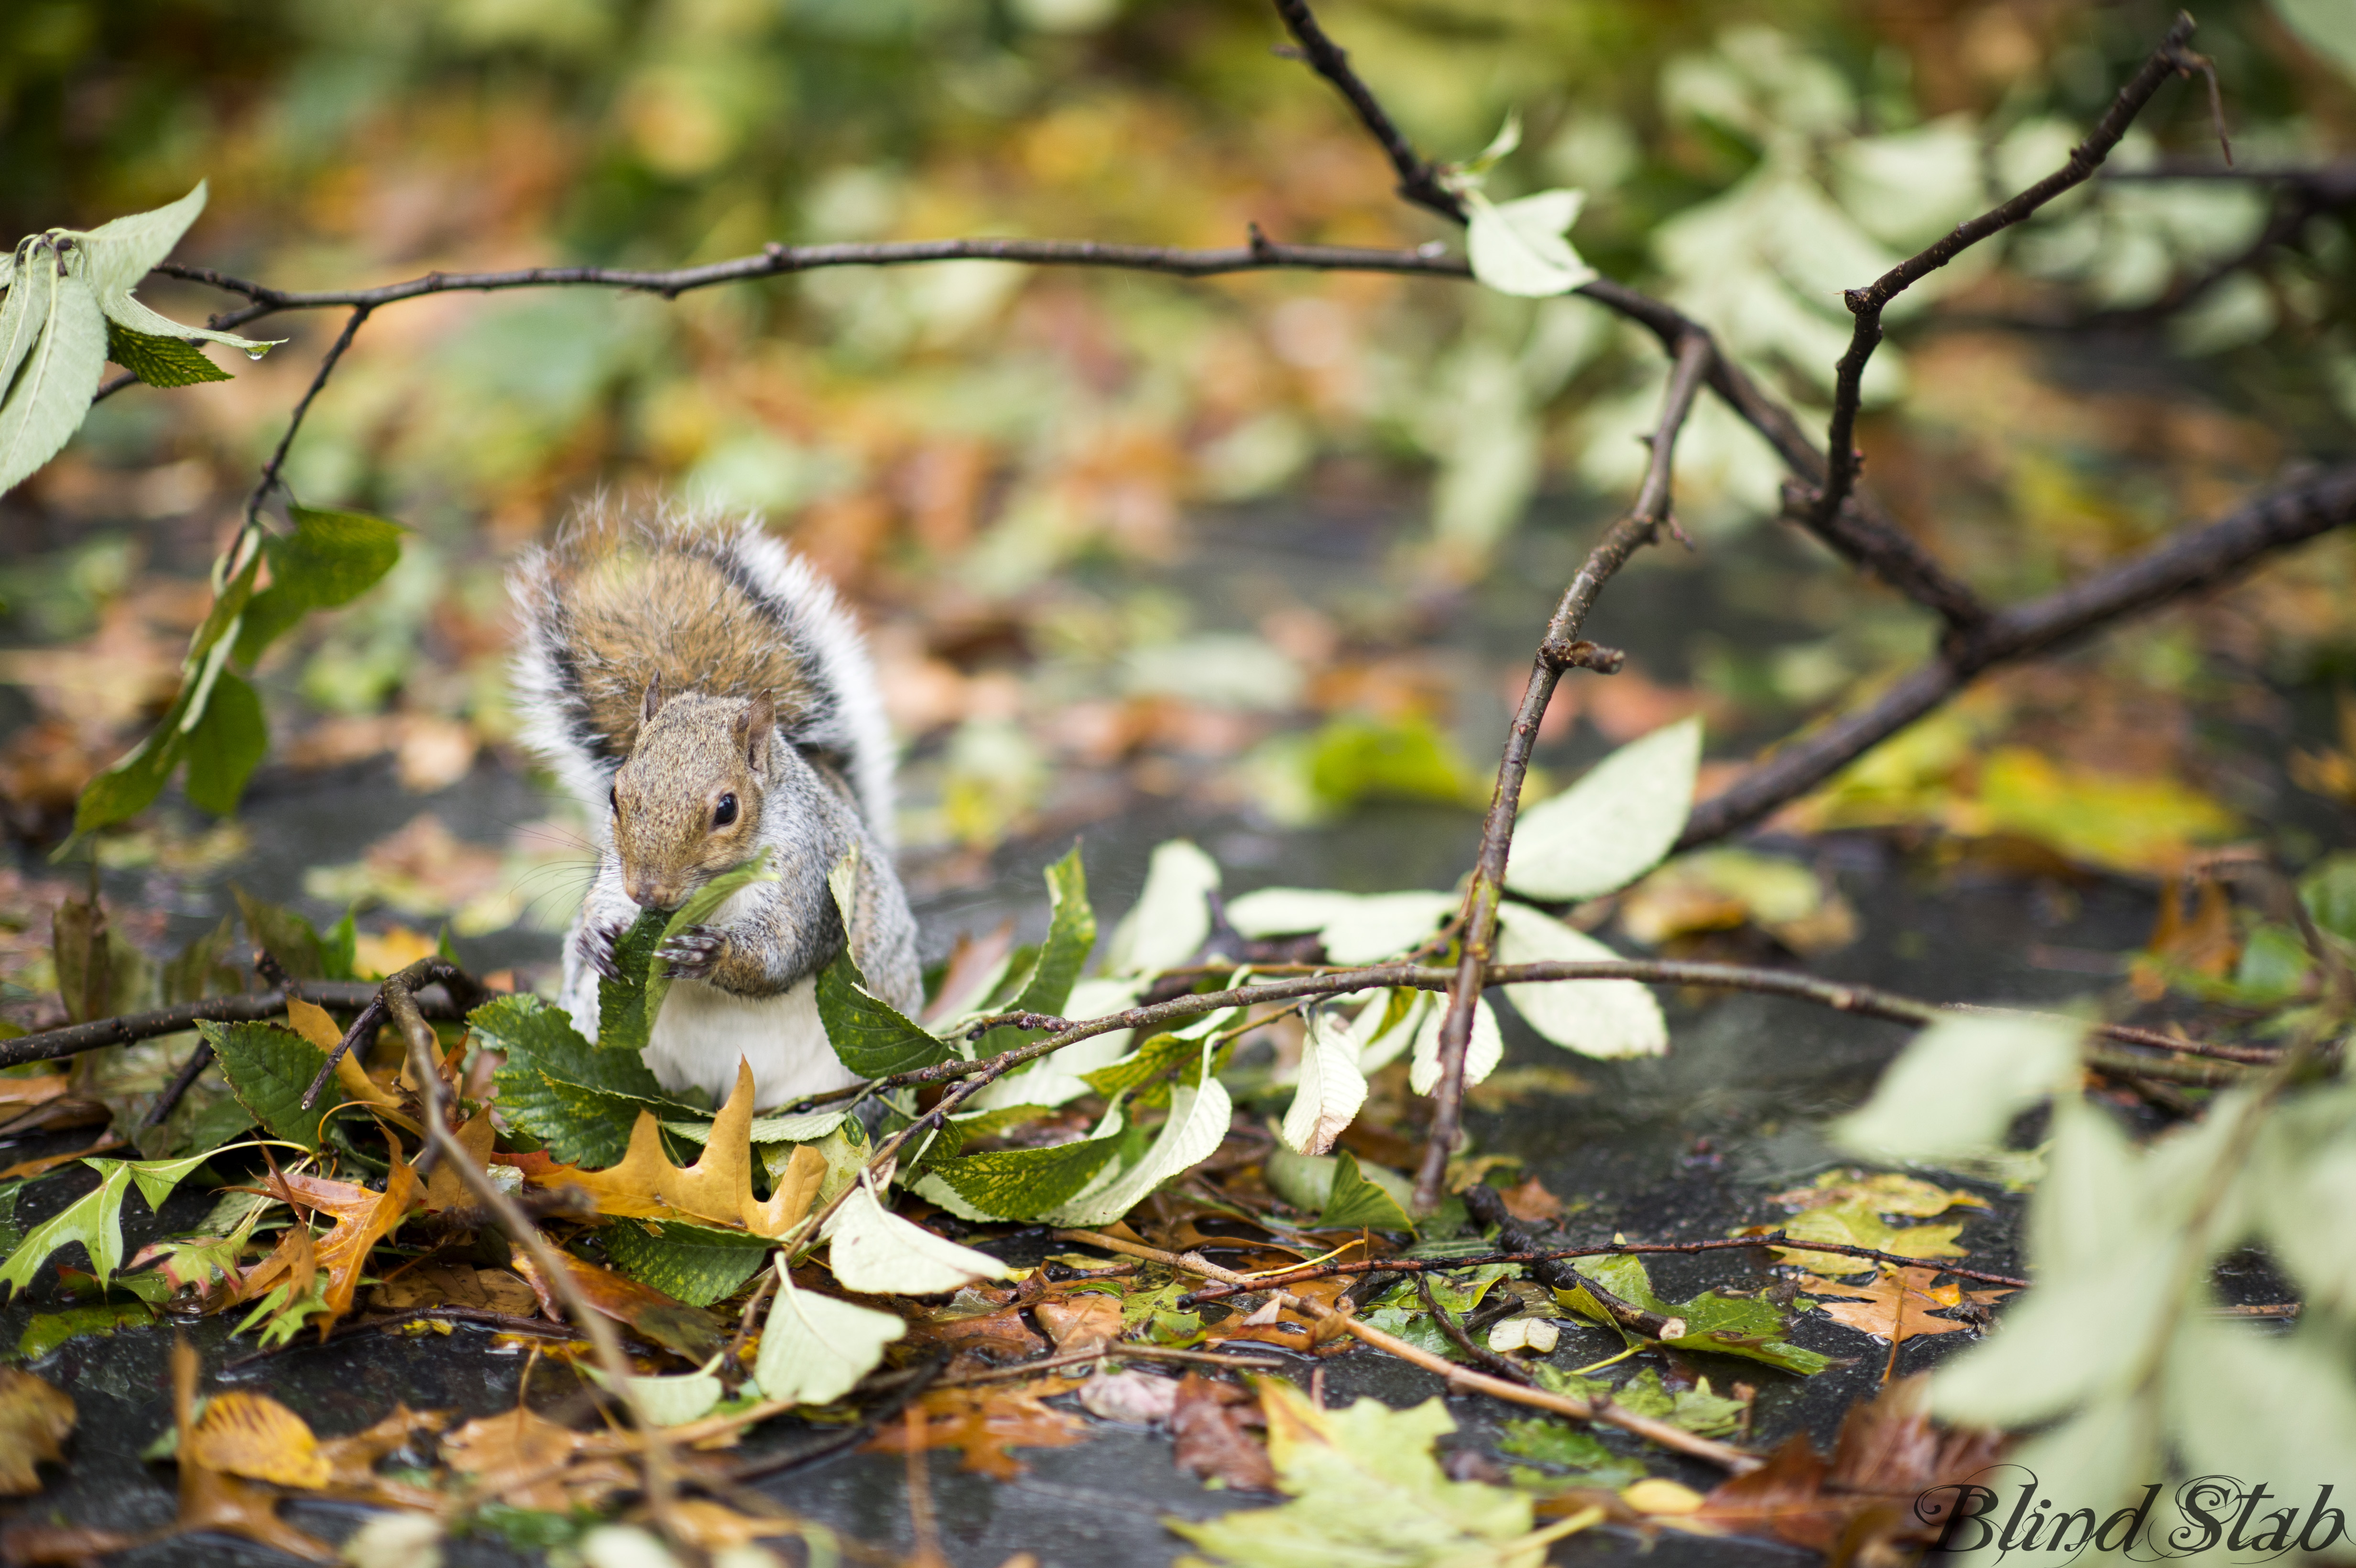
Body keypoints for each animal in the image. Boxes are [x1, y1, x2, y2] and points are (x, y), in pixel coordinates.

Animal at [511, 506, 923, 1106]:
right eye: (614, 794)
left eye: (727, 809)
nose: (647, 894)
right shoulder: (614, 871)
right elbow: (599, 904)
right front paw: (594, 937)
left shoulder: (808, 878)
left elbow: (780, 952)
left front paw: (711, 956)